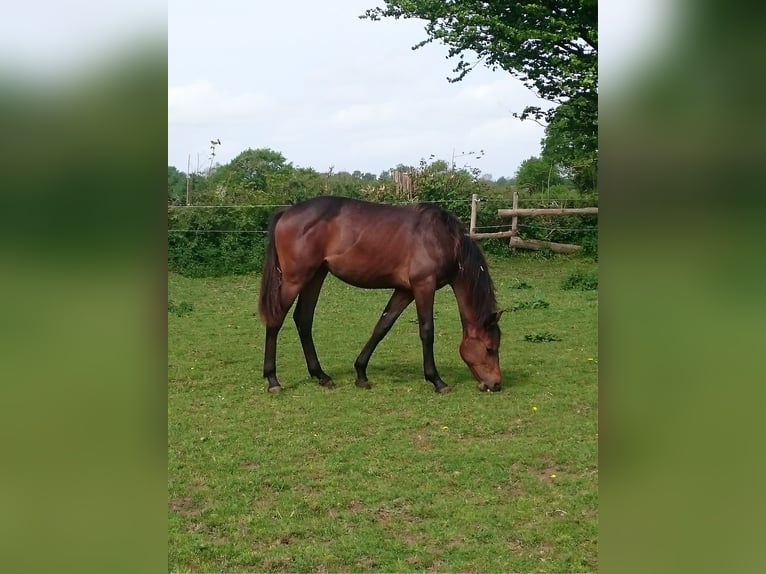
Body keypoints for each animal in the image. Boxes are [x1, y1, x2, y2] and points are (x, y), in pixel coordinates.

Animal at [260, 196, 508, 394]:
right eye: (489, 348)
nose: (496, 384)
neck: (443, 238)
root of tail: (286, 213)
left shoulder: (405, 290)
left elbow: (382, 327)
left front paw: (361, 374)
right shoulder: (423, 286)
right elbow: (427, 331)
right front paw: (437, 380)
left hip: (315, 276)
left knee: (303, 319)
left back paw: (321, 375)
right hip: (294, 279)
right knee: (276, 320)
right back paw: (273, 380)